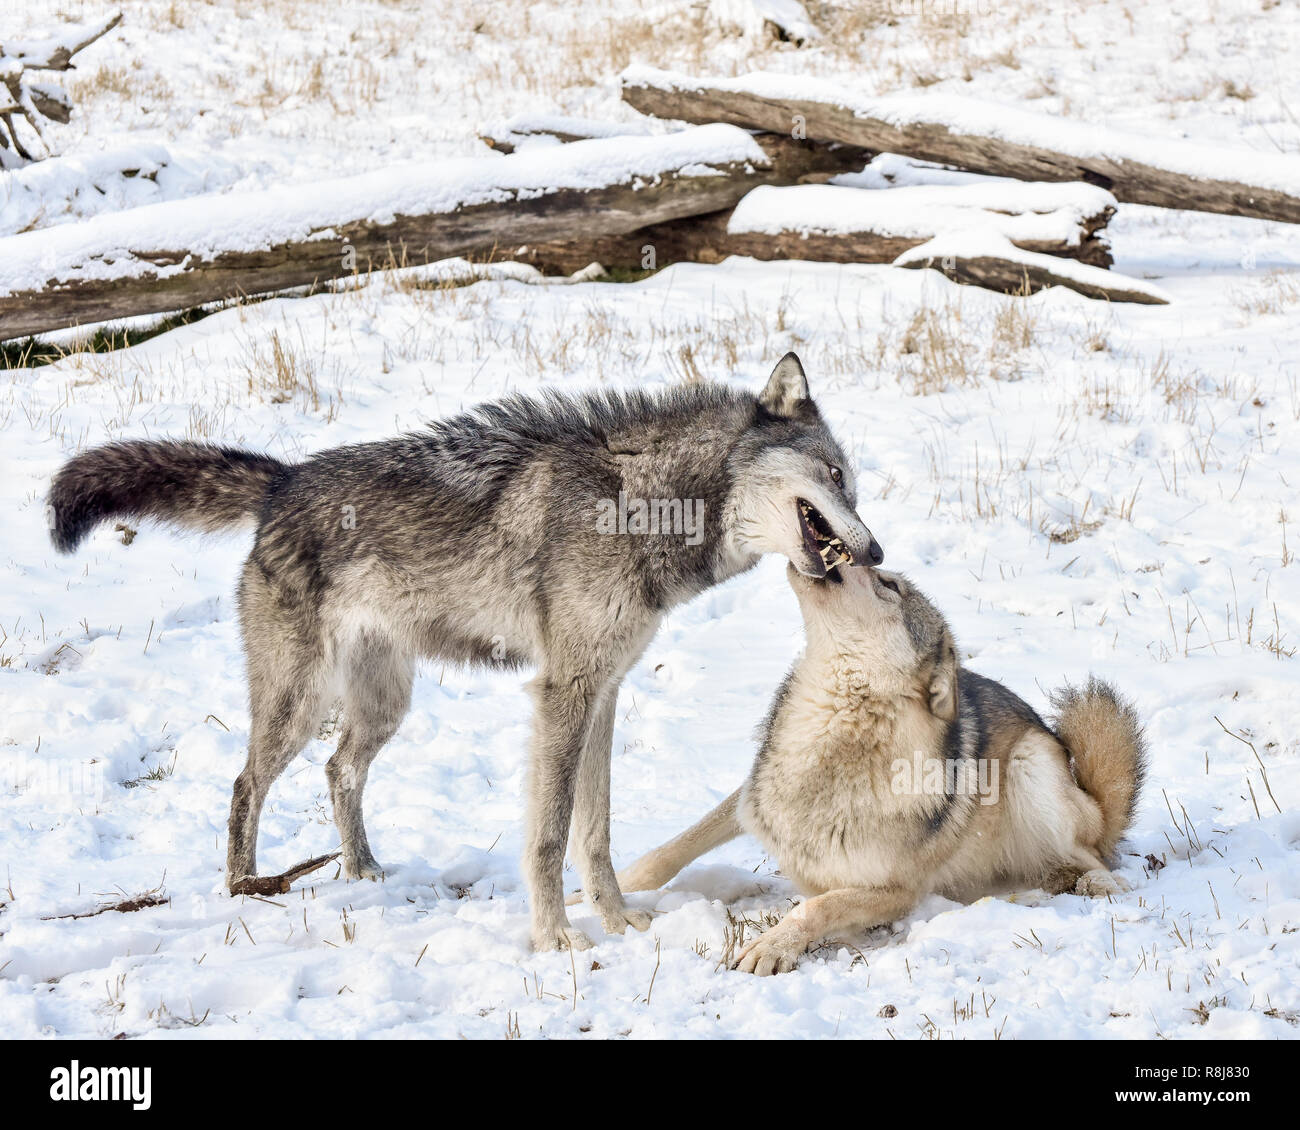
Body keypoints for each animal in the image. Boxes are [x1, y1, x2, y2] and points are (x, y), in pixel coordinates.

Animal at [50, 353, 883, 951]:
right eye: (835, 476)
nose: (874, 552)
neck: (645, 503)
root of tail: (283, 480)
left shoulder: (604, 692)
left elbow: (597, 833)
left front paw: (620, 924)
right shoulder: (563, 695)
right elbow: (549, 835)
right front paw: (556, 940)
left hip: (384, 704)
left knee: (338, 771)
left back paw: (363, 872)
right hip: (300, 705)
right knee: (244, 785)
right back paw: (246, 892)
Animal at [595, 559, 1144, 972]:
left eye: (889, 586)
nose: (855, 551)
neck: (828, 728)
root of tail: (1094, 804)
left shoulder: (895, 891)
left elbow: (818, 906)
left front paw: (771, 947)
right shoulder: (753, 797)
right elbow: (671, 850)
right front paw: (603, 896)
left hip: (1030, 766)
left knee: (1097, 855)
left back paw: (1098, 884)